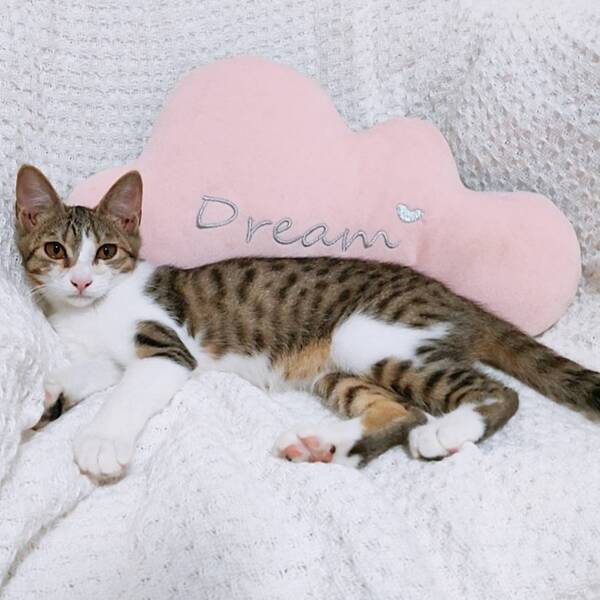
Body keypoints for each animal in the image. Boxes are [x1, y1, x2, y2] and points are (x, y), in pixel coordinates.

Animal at [14, 164, 600, 480]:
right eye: (55, 250)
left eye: (107, 251)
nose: (81, 282)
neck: (93, 312)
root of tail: (449, 293)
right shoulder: (109, 353)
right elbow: (94, 373)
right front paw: (45, 399)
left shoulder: (166, 348)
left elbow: (127, 392)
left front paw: (100, 442)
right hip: (335, 365)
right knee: (400, 409)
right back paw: (327, 446)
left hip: (365, 332)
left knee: (497, 392)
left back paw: (450, 430)